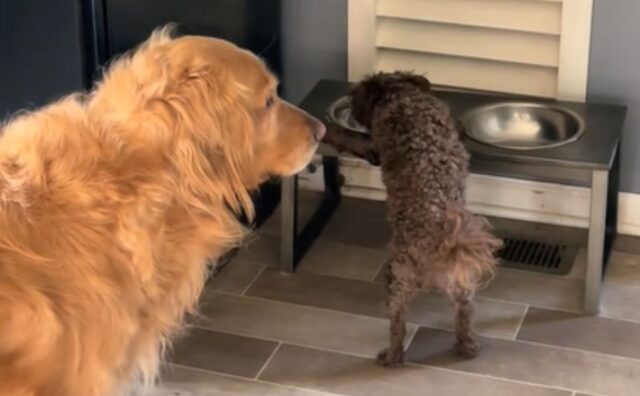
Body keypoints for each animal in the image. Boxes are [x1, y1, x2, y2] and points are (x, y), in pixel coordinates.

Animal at [322, 72, 502, 366]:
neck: (402, 95)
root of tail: (439, 238)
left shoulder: (375, 142)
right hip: (460, 281)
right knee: (464, 312)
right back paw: (467, 346)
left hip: (398, 277)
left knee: (398, 323)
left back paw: (392, 355)